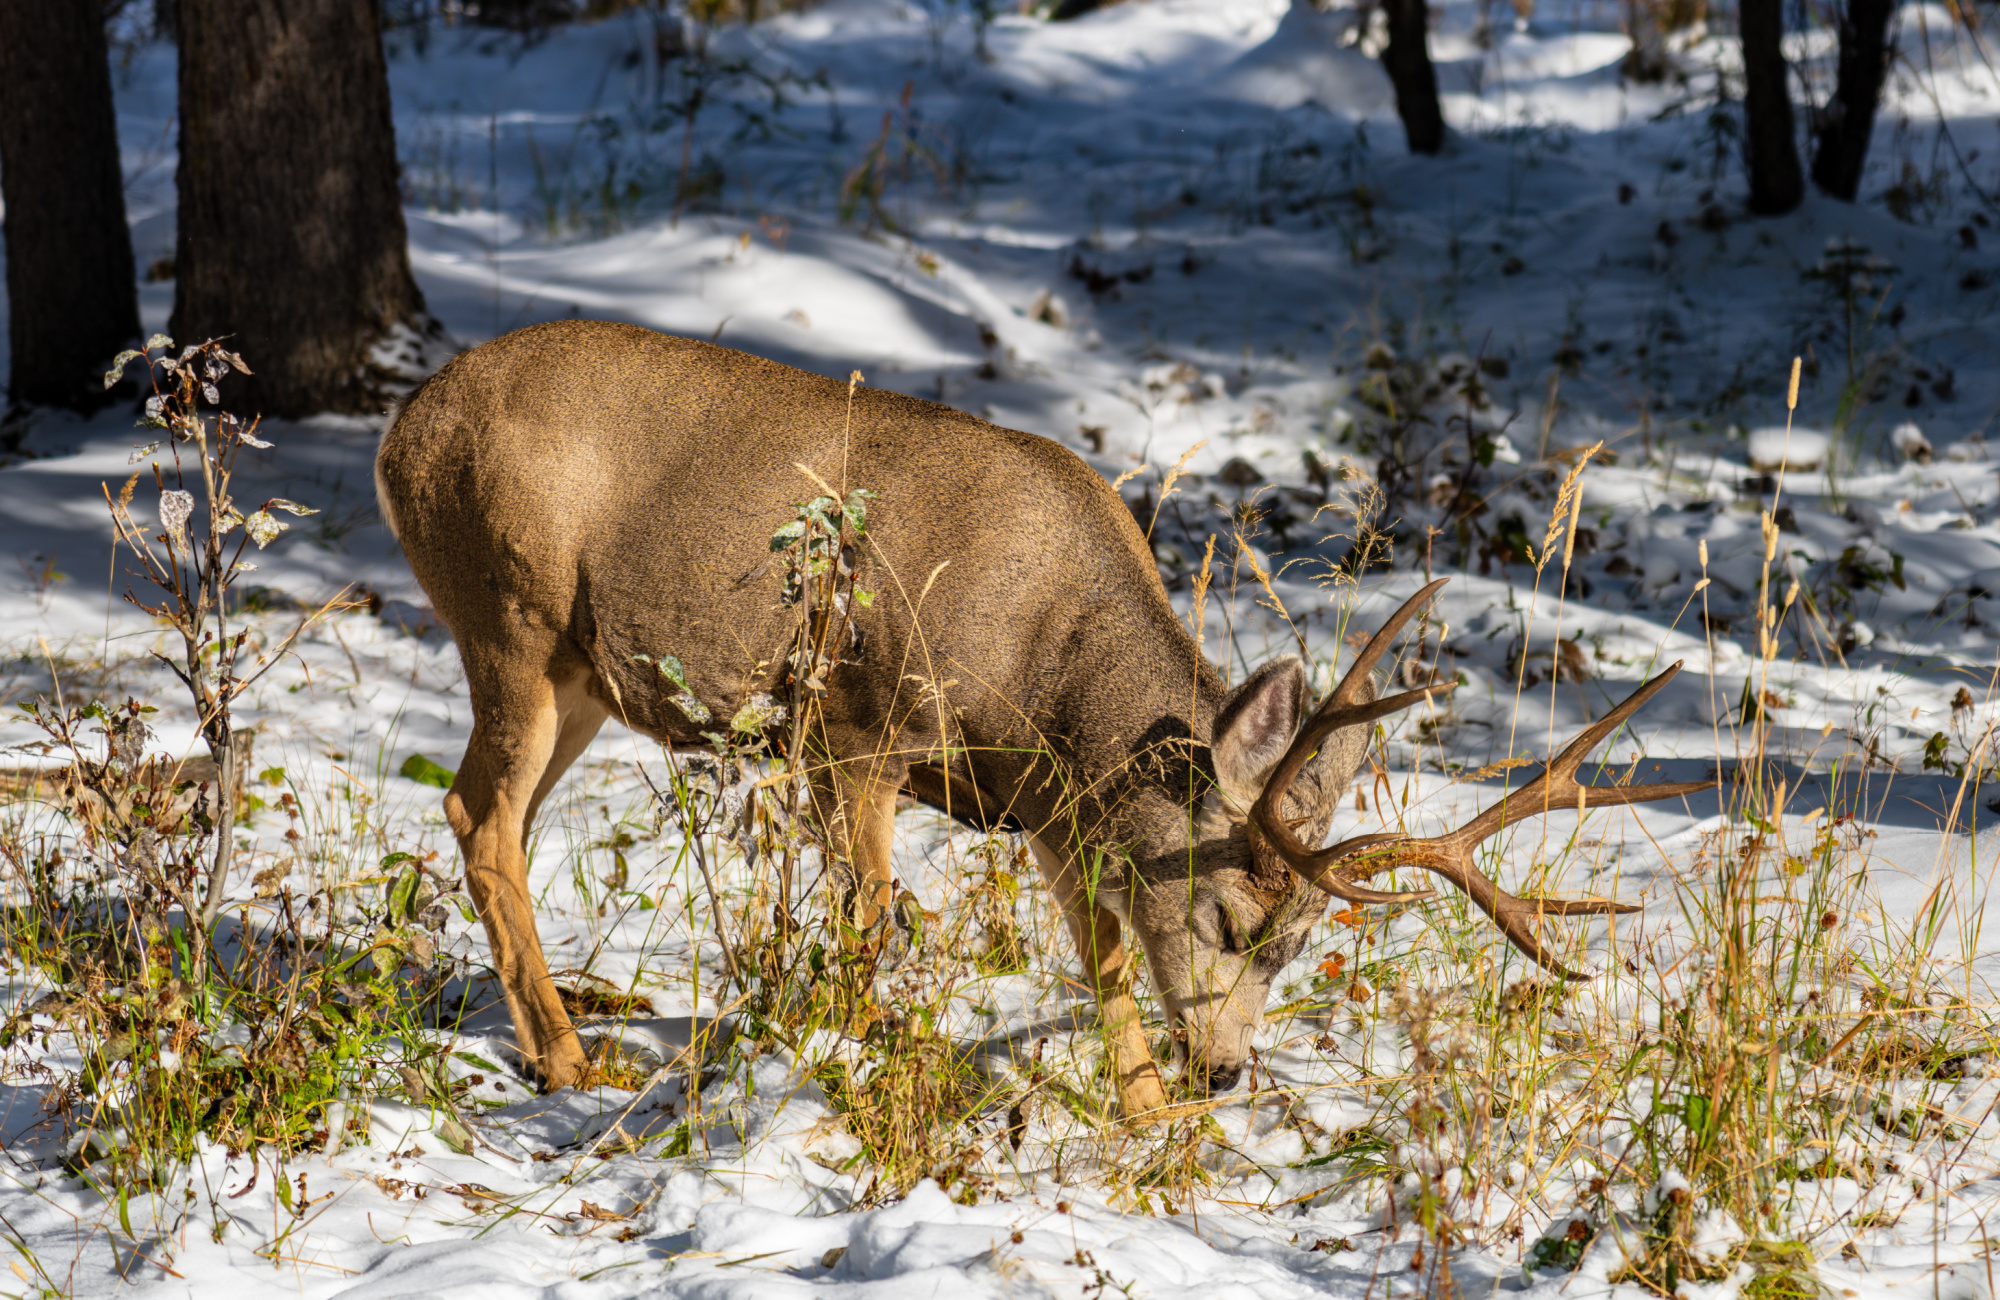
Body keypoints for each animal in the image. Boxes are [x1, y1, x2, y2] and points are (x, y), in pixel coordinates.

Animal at [372, 318, 1704, 1120]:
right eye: (1230, 916)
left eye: (1292, 947)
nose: (1225, 1071)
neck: (1053, 667)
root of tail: (400, 433)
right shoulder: (863, 723)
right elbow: (871, 917)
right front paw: (846, 1053)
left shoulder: (1054, 806)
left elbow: (1102, 953)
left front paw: (1148, 1118)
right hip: (512, 613)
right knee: (478, 812)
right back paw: (562, 1056)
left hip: (581, 674)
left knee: (489, 817)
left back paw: (563, 1024)